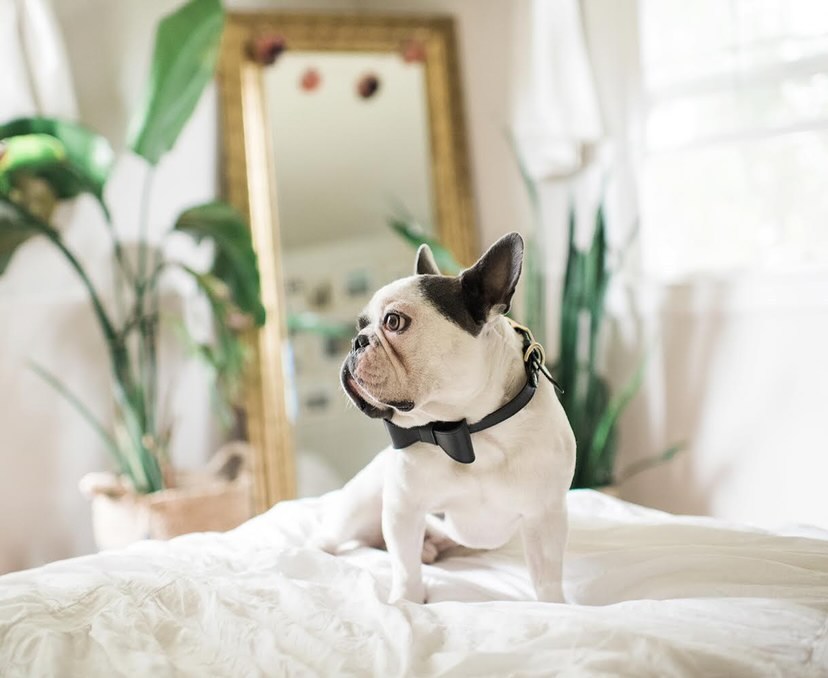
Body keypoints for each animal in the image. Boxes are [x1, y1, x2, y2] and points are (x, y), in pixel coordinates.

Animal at [310, 234, 576, 604]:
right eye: (360, 326)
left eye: (393, 322)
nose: (356, 343)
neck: (469, 429)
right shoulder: (403, 509)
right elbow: (405, 567)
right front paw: (405, 601)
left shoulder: (545, 514)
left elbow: (547, 575)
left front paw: (555, 607)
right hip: (360, 504)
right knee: (332, 536)